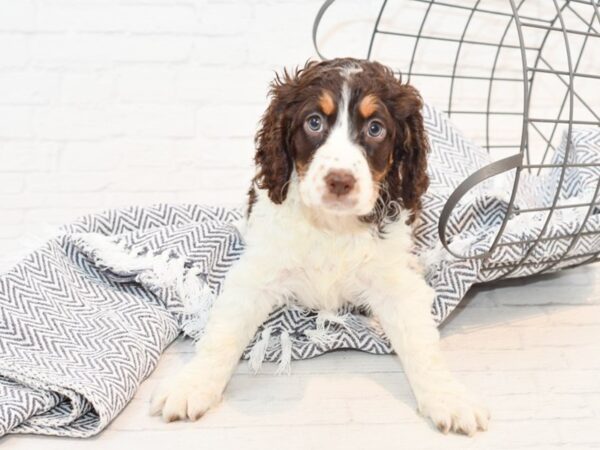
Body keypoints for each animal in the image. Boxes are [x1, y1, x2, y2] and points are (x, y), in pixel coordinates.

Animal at [150, 57, 488, 436]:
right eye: (314, 122)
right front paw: (192, 384)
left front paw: (448, 397)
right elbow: (223, 333)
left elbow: (421, 343)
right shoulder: (257, 274)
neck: (332, 226)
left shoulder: (395, 282)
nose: (340, 181)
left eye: (375, 128)